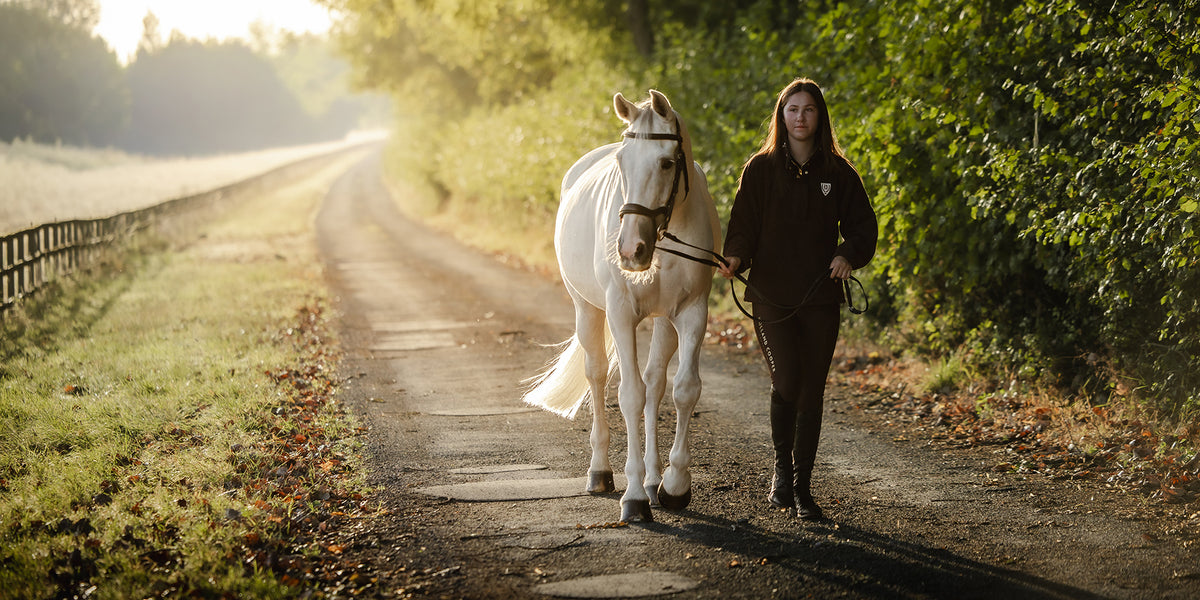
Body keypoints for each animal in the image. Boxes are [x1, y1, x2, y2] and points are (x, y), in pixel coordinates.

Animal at [523, 90, 720, 523]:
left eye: (666, 162)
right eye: (621, 163)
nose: (631, 250)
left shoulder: (692, 313)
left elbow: (684, 389)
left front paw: (674, 485)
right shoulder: (620, 313)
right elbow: (629, 394)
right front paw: (633, 498)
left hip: (663, 322)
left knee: (656, 384)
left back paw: (652, 478)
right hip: (587, 310)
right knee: (597, 374)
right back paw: (601, 472)